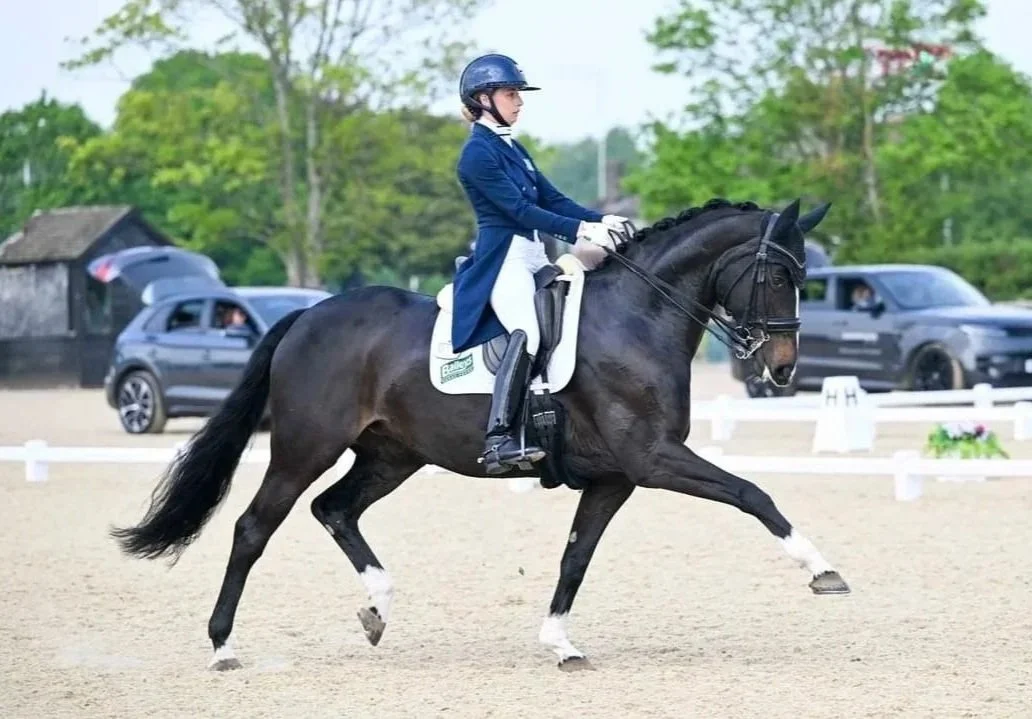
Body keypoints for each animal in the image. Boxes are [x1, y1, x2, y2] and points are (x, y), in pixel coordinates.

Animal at [110, 196, 849, 672]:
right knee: (254, 528)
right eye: (776, 274)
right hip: (304, 447)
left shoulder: (616, 476)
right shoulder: (654, 458)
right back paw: (223, 646)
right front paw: (823, 571)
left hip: (392, 454)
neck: (637, 317)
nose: (781, 368)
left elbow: (576, 556)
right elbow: (753, 494)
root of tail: (306, 316)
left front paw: (560, 643)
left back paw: (377, 608)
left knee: (335, 508)